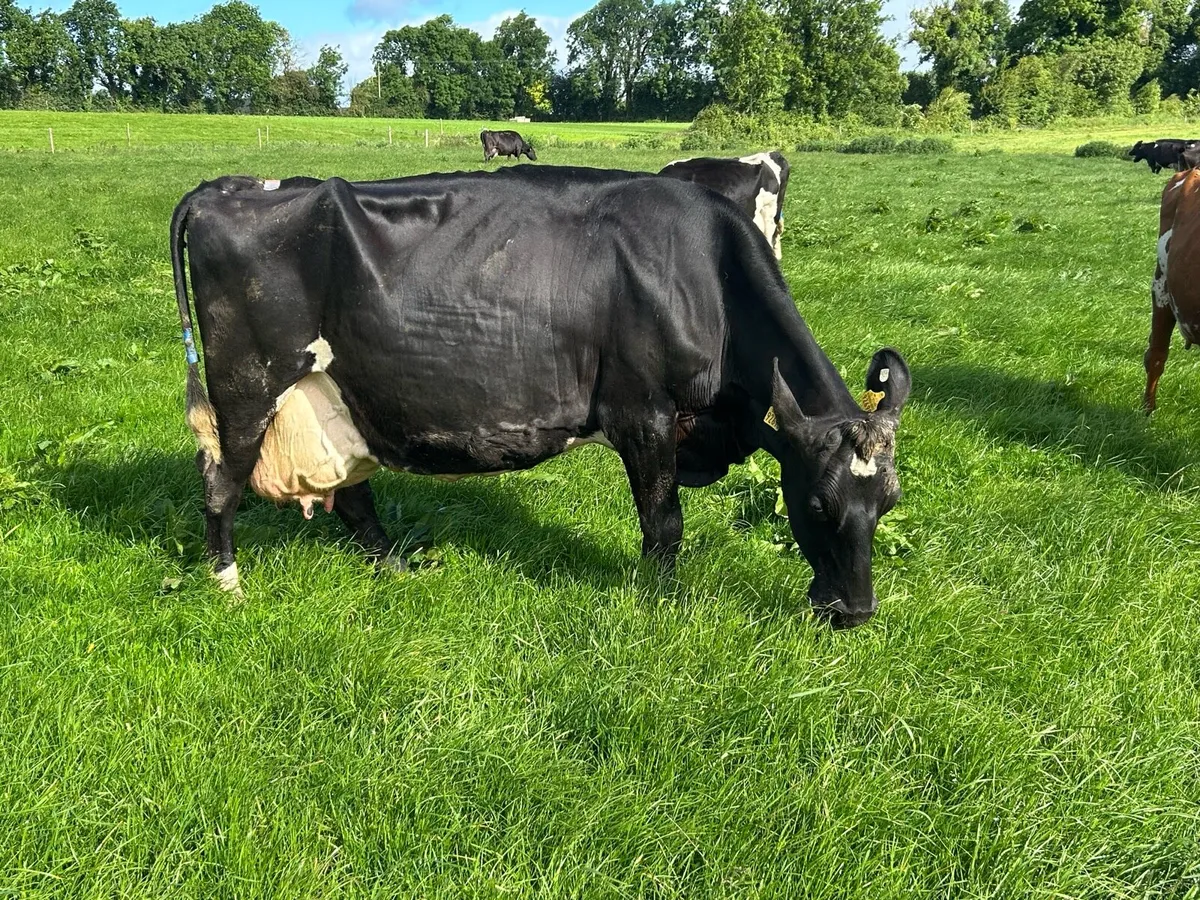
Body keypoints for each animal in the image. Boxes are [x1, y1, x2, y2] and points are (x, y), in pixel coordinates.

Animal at [170, 166, 911, 629]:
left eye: (889, 503)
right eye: (815, 504)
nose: (854, 613)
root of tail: (223, 188)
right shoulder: (642, 410)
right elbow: (663, 522)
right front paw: (662, 602)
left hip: (339, 399)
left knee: (352, 496)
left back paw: (400, 569)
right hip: (246, 387)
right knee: (220, 484)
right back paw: (229, 587)